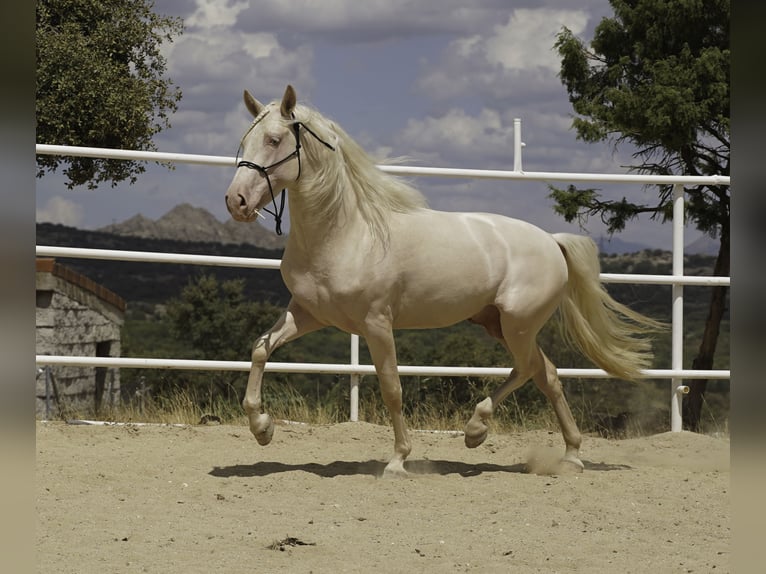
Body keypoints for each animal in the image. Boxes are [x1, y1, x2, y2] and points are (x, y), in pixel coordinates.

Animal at [224, 85, 662, 477]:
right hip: (497, 323)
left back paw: (476, 429)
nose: (236, 202)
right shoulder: (308, 314)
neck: (347, 233)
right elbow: (260, 349)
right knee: (547, 373)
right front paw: (262, 429)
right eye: (244, 141)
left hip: (517, 325)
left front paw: (398, 461)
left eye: (274, 139)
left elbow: (392, 388)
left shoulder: (377, 324)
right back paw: (569, 456)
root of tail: (552, 242)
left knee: (527, 368)